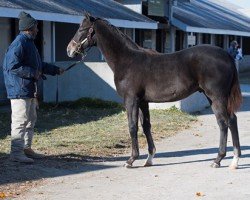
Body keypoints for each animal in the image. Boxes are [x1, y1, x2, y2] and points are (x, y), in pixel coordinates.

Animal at [67, 12, 242, 169]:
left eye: (81, 29)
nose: (69, 49)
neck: (127, 60)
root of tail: (226, 55)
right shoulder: (143, 101)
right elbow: (146, 126)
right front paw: (149, 159)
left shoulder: (131, 100)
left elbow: (132, 127)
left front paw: (131, 160)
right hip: (214, 97)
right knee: (231, 120)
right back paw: (234, 160)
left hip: (217, 97)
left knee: (224, 122)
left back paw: (218, 160)